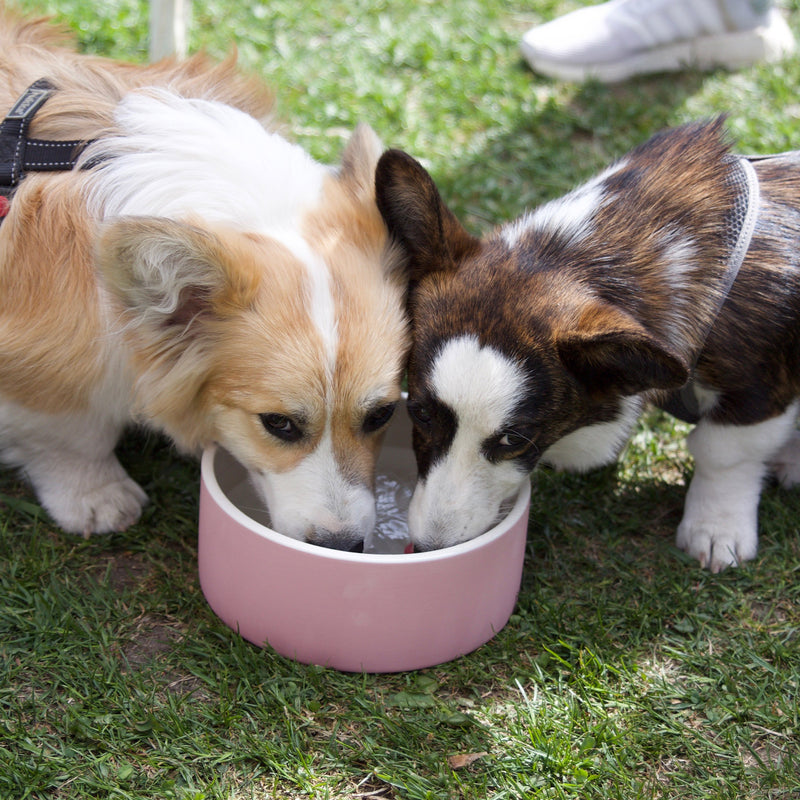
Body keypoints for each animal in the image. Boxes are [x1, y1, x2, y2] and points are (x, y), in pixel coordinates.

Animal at [0, 6, 410, 552]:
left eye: (381, 415)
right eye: (278, 424)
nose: (341, 546)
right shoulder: (40, 360)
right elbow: (69, 433)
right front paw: (96, 496)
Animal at [376, 117, 800, 568]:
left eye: (515, 440)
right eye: (419, 413)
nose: (427, 549)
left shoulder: (756, 392)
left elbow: (722, 452)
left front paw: (716, 528)